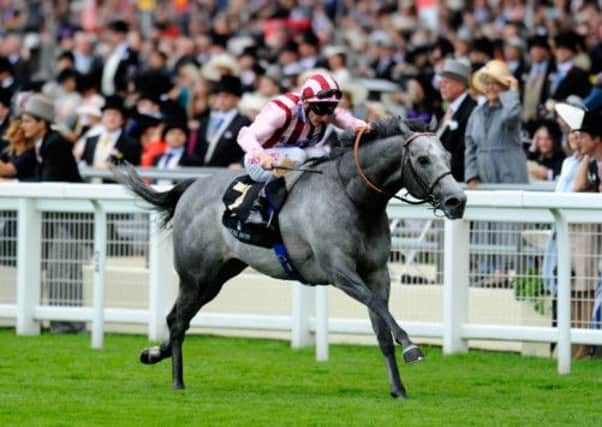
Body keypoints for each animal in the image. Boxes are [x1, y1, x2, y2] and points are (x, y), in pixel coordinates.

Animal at [115, 116, 466, 398]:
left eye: (448, 156)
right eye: (423, 159)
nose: (457, 200)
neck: (353, 197)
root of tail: (188, 188)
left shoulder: (377, 272)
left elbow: (381, 326)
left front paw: (398, 388)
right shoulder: (340, 271)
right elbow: (377, 306)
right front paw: (412, 348)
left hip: (218, 277)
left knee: (178, 317)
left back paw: (154, 354)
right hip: (195, 274)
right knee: (177, 320)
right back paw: (177, 381)